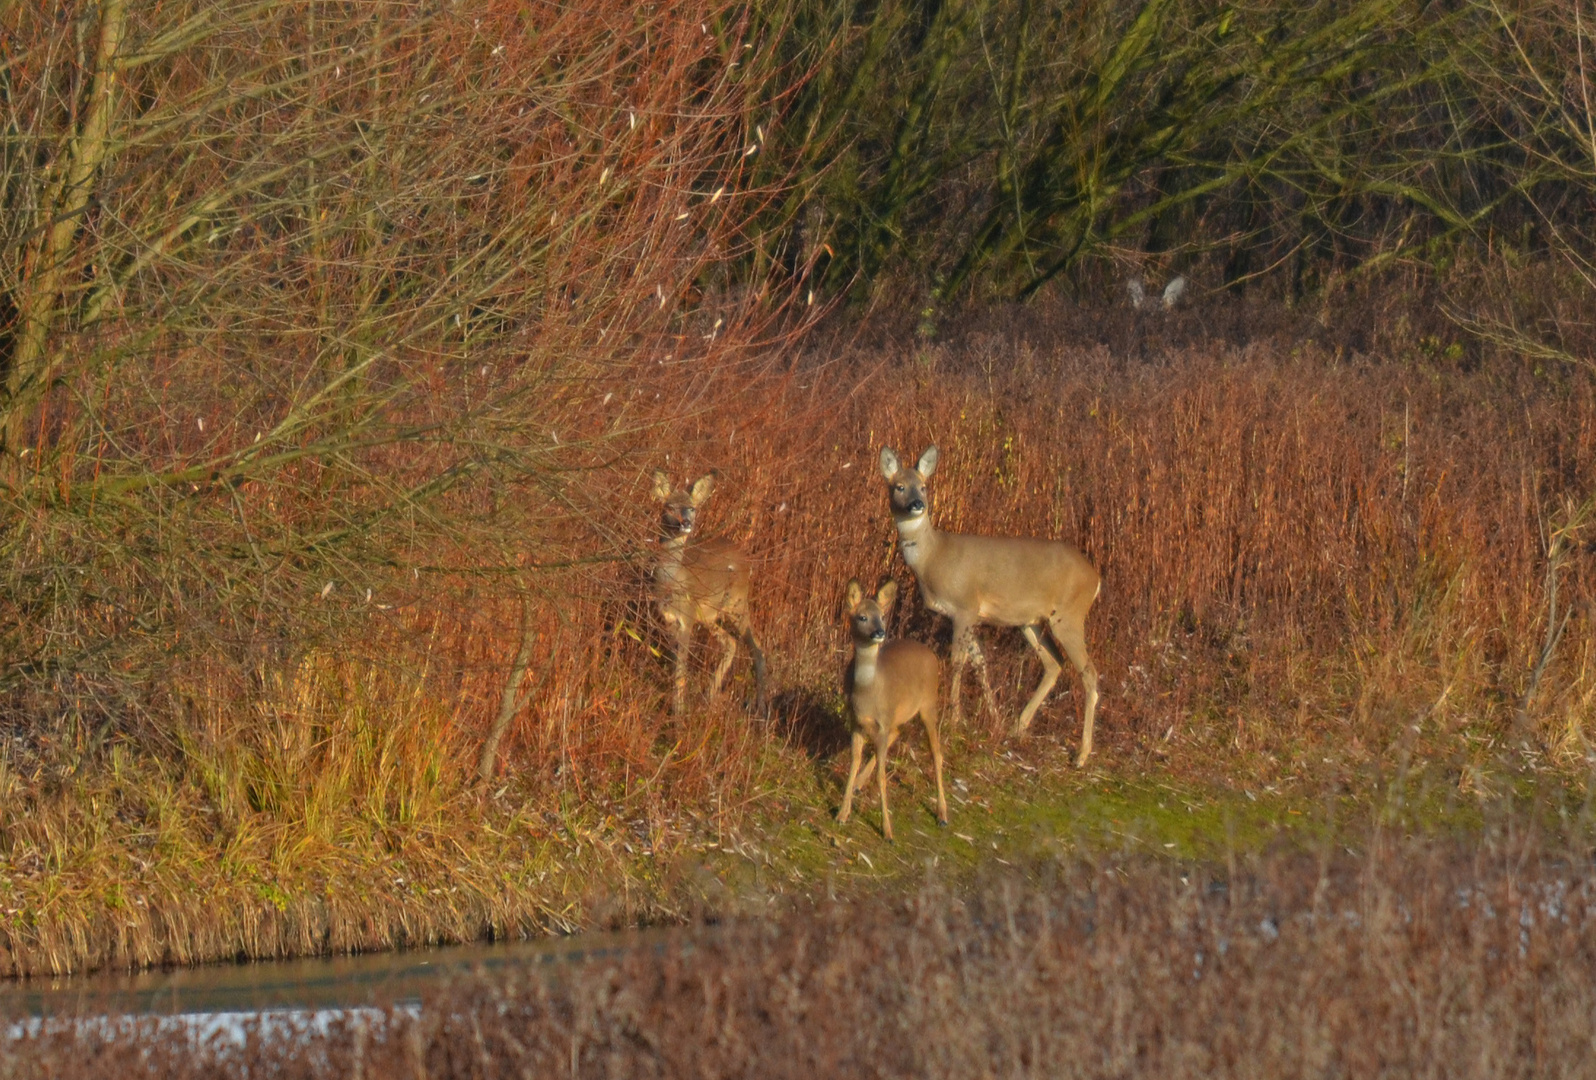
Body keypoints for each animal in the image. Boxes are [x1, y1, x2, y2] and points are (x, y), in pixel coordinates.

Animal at [651, 469, 769, 714]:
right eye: (669, 507)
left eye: (692, 508)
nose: (686, 523)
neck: (670, 582)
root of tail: (745, 558)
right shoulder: (667, 619)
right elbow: (676, 667)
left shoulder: (686, 618)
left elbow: (681, 672)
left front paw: (678, 713)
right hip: (708, 614)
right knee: (731, 643)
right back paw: (710, 695)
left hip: (737, 603)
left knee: (757, 649)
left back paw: (761, 709)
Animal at [836, 580, 944, 842]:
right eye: (862, 616)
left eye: (882, 616)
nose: (880, 632)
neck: (869, 692)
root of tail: (931, 653)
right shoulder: (856, 722)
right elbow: (853, 763)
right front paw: (842, 814)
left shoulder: (882, 722)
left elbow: (882, 777)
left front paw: (887, 831)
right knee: (899, 732)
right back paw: (858, 785)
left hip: (929, 703)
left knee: (937, 753)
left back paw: (942, 815)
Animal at [880, 446, 1104, 765]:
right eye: (899, 486)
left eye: (923, 486)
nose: (917, 504)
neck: (933, 558)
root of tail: (1095, 578)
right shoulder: (970, 616)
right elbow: (980, 662)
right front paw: (993, 718)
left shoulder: (965, 606)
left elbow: (958, 661)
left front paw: (954, 718)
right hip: (1030, 622)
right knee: (1054, 664)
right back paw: (1018, 726)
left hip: (1070, 615)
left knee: (1089, 672)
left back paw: (1082, 754)